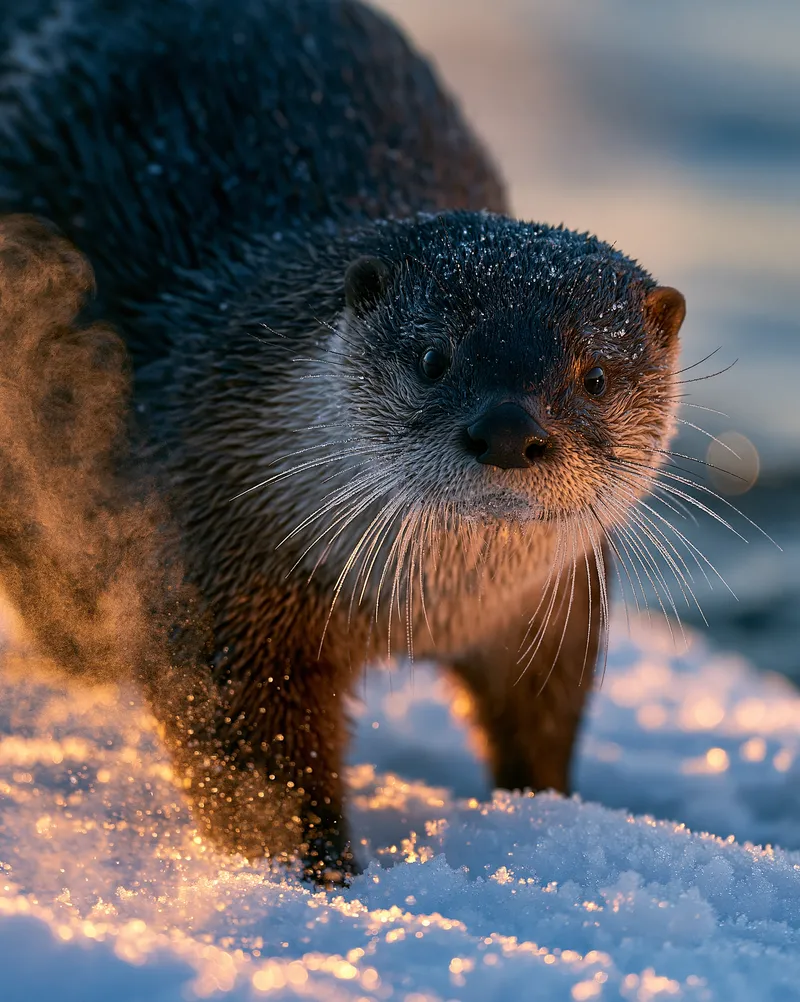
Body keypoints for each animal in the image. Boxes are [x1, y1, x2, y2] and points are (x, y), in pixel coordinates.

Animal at [0, 0, 685, 882]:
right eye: (434, 358)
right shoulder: (210, 568)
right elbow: (252, 758)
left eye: (595, 374)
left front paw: (547, 814)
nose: (508, 430)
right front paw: (319, 875)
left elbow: (545, 714)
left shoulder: (555, 601)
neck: (432, 609)